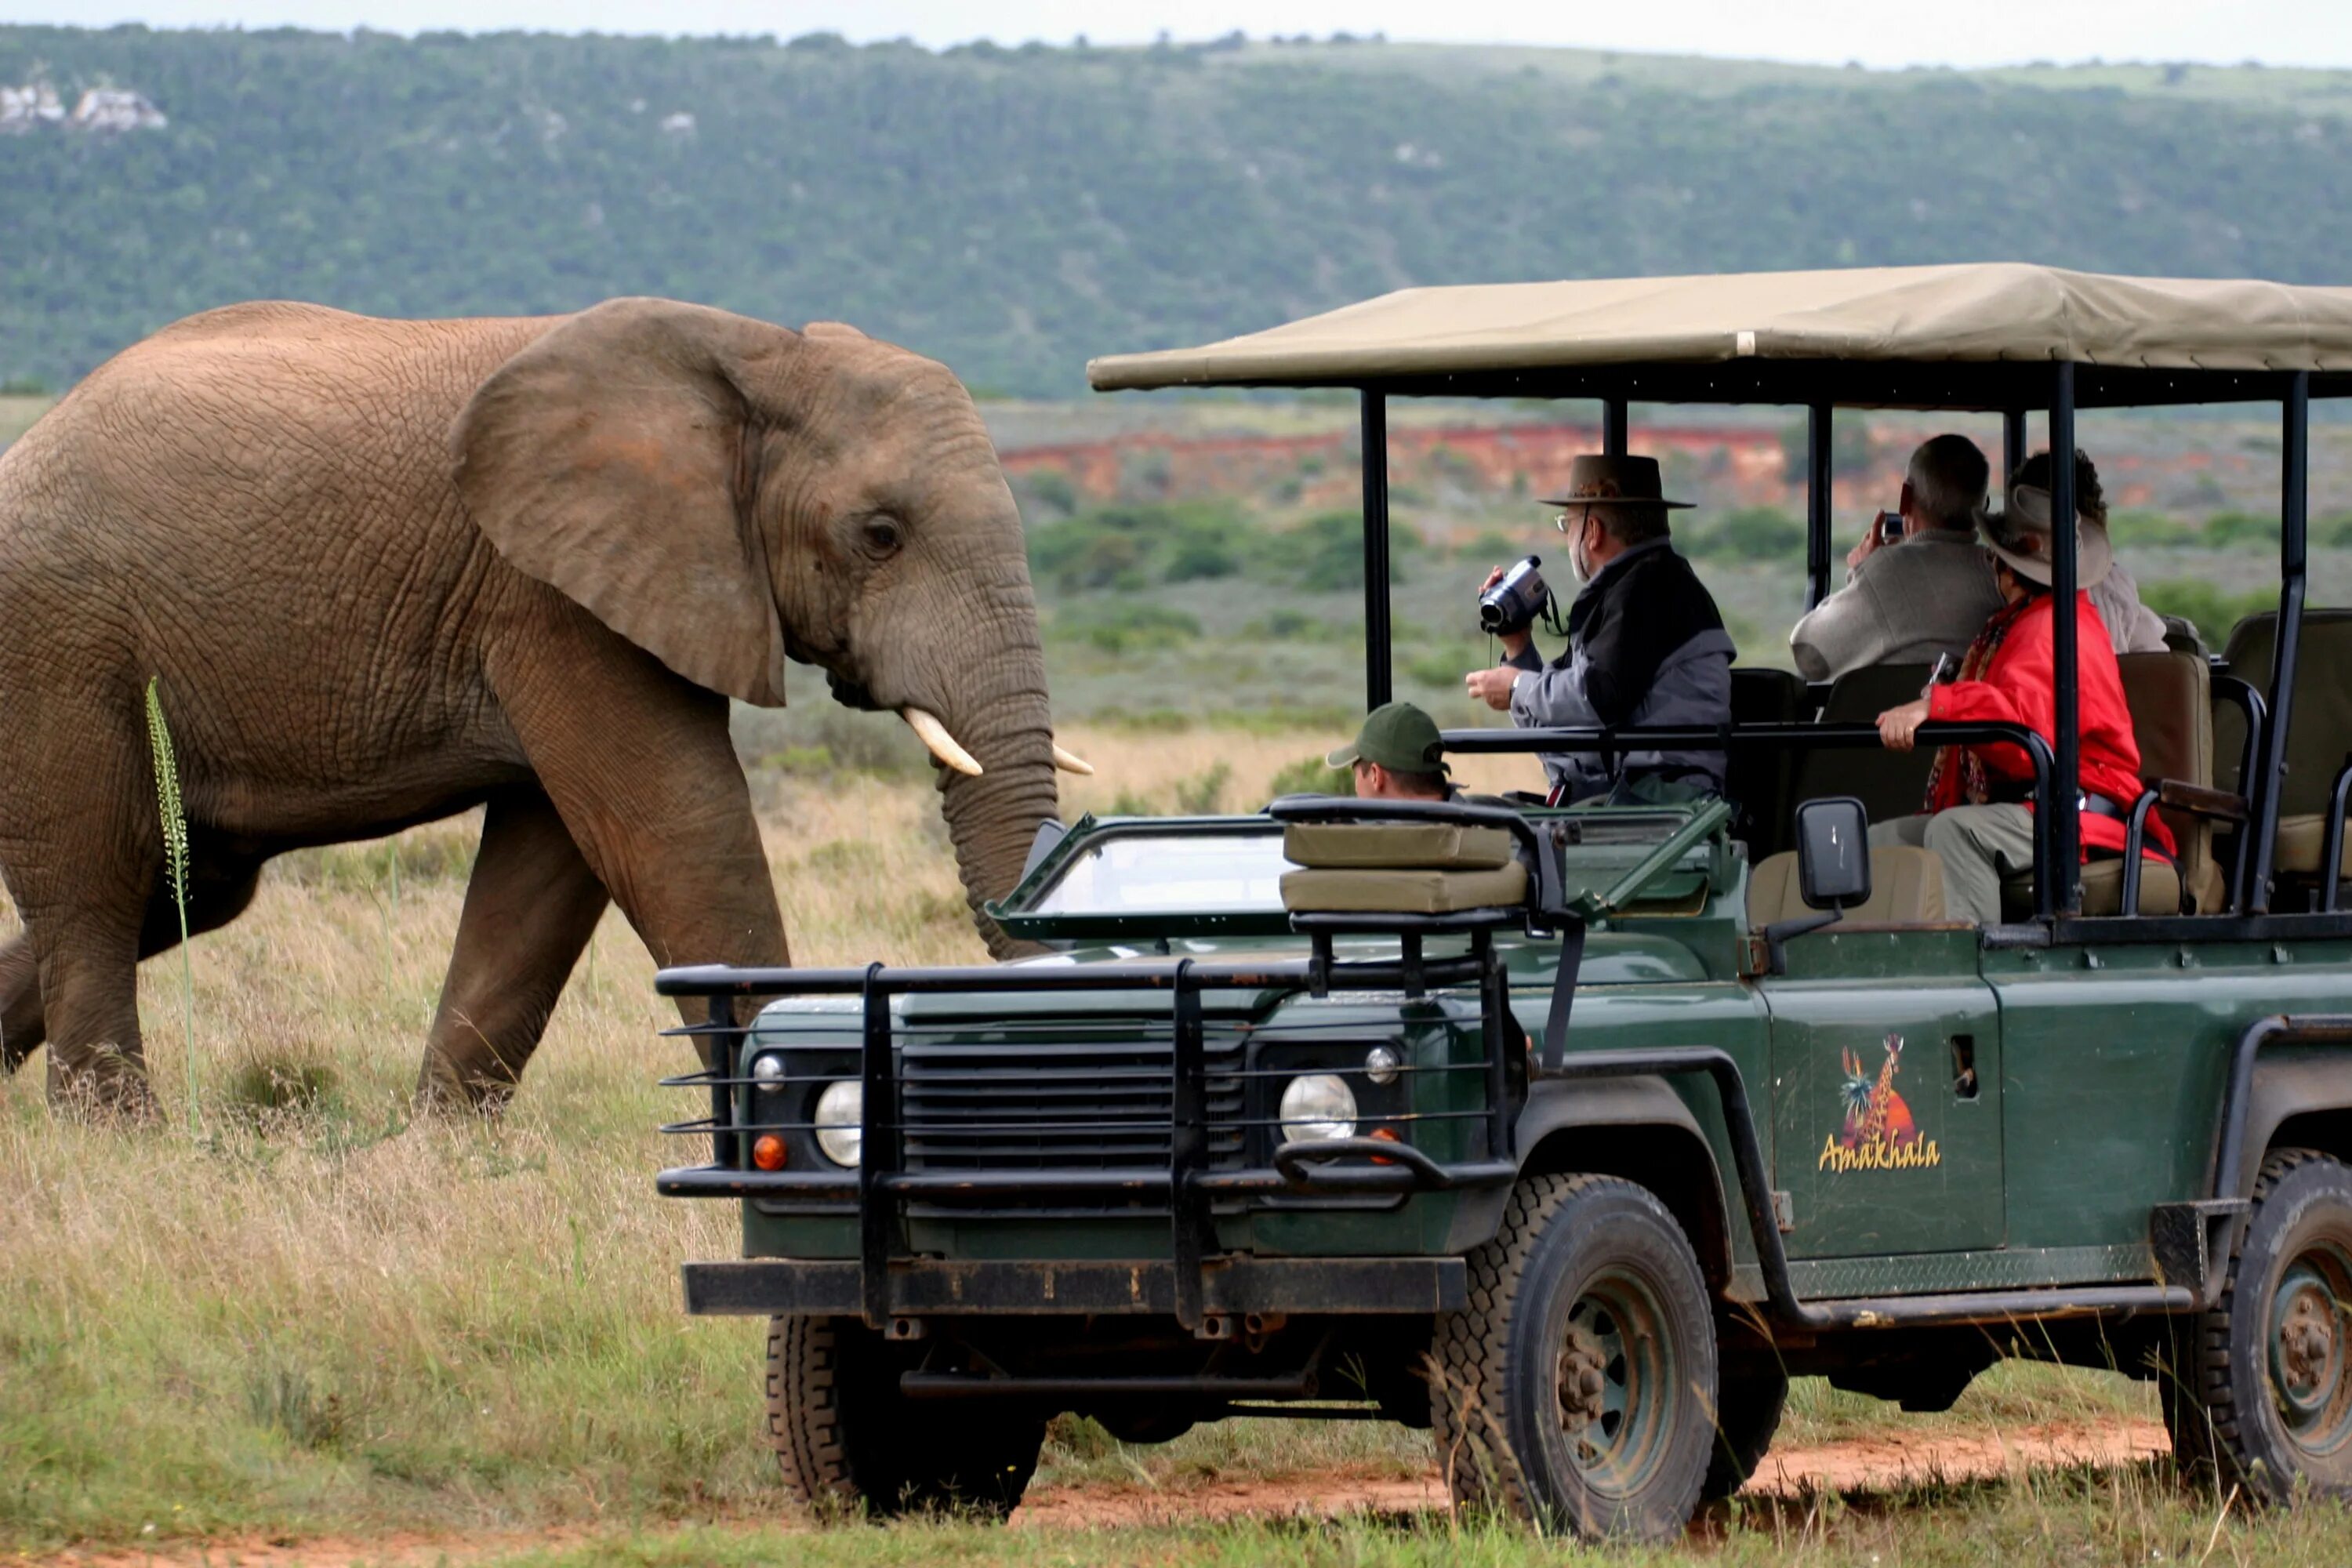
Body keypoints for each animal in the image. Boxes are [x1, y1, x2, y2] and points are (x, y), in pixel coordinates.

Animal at [0, 300, 1077, 1109]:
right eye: (880, 534)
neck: (753, 351)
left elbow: (552, 868)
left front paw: (434, 1151)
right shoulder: (551, 595)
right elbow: (677, 827)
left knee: (186, 886)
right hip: (58, 644)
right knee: (97, 882)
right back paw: (121, 1137)